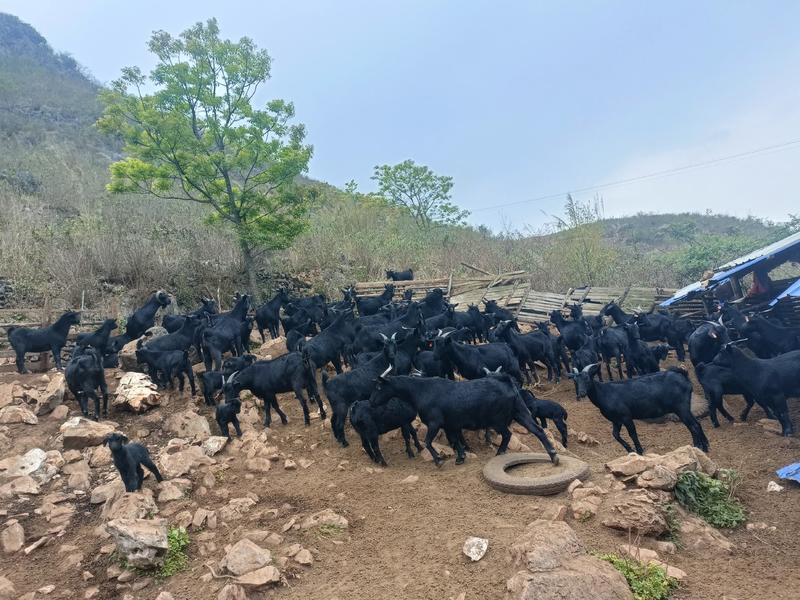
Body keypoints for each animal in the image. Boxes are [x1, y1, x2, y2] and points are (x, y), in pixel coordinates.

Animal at [568, 364, 708, 452]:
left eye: (587, 378)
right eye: (575, 381)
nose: (581, 393)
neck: (605, 393)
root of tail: (683, 375)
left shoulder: (626, 416)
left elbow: (632, 433)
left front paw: (639, 450)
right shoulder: (616, 420)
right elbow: (615, 435)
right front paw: (630, 450)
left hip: (681, 407)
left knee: (693, 425)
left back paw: (699, 447)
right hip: (683, 408)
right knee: (695, 424)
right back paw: (703, 446)